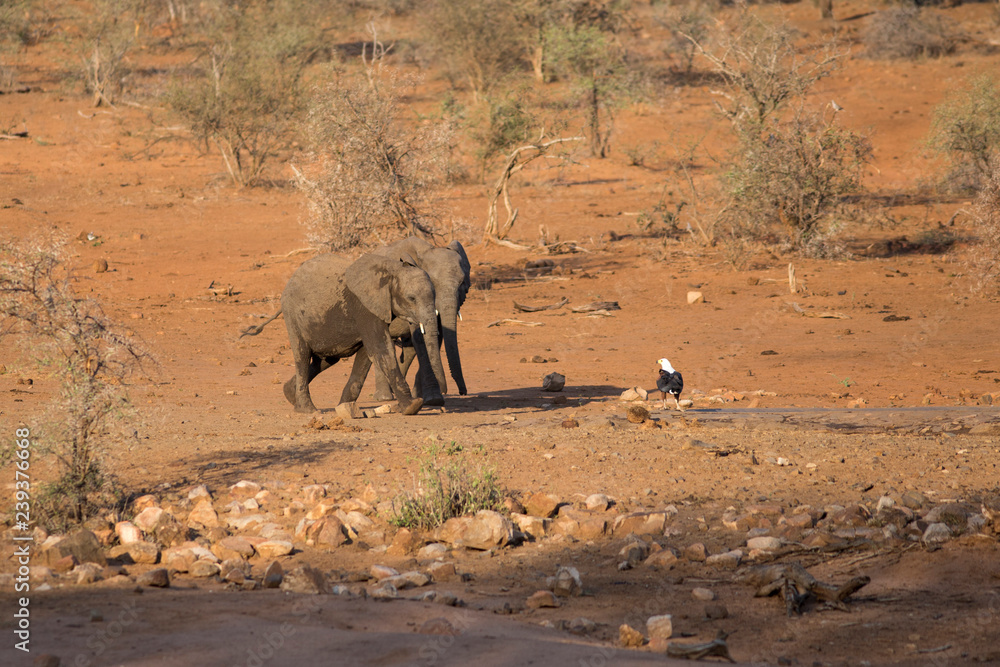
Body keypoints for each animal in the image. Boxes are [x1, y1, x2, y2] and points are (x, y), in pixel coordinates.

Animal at [240, 252, 446, 415]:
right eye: (412, 298)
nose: (441, 402)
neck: (391, 269)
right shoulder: (365, 308)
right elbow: (381, 350)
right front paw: (413, 407)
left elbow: (366, 356)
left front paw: (344, 408)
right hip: (292, 315)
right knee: (302, 356)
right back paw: (308, 410)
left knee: (325, 360)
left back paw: (289, 394)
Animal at [371, 236, 471, 404]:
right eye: (432, 283)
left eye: (462, 283)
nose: (462, 392)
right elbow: (420, 336)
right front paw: (433, 398)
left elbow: (435, 336)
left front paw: (424, 396)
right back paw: (383, 397)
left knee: (408, 350)